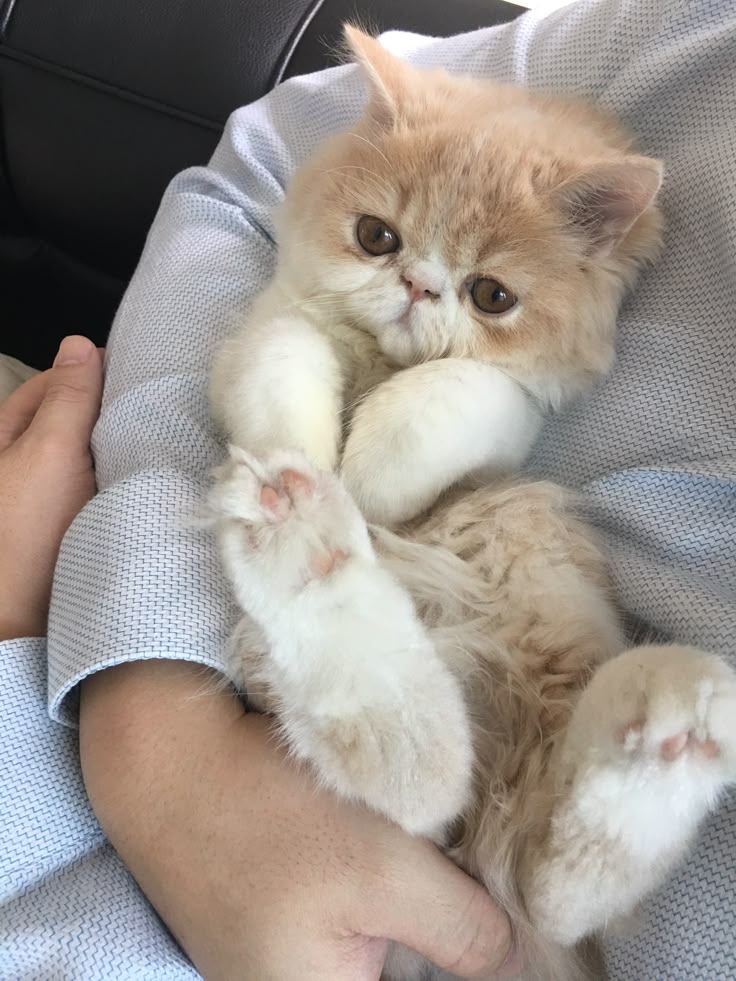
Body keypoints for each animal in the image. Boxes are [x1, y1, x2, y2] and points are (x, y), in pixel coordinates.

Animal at [206, 26, 736, 980]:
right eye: (376, 237)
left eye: (492, 294)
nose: (418, 285)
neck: (382, 358)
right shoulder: (273, 323)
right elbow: (285, 362)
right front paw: (297, 463)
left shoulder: (517, 407)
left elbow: (440, 399)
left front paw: (366, 473)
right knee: (423, 770)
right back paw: (300, 532)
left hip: (535, 587)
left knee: (535, 861)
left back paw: (672, 733)